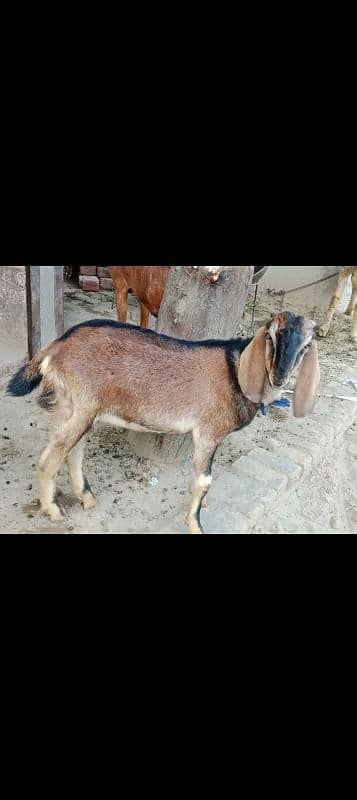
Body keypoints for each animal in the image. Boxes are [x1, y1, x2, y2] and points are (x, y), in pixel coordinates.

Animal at [6, 310, 318, 532]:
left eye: (306, 346)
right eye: (272, 336)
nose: (279, 375)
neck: (236, 369)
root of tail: (54, 349)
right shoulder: (209, 431)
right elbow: (203, 480)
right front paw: (196, 525)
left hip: (78, 409)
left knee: (71, 452)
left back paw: (86, 497)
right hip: (81, 407)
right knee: (50, 458)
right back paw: (55, 511)